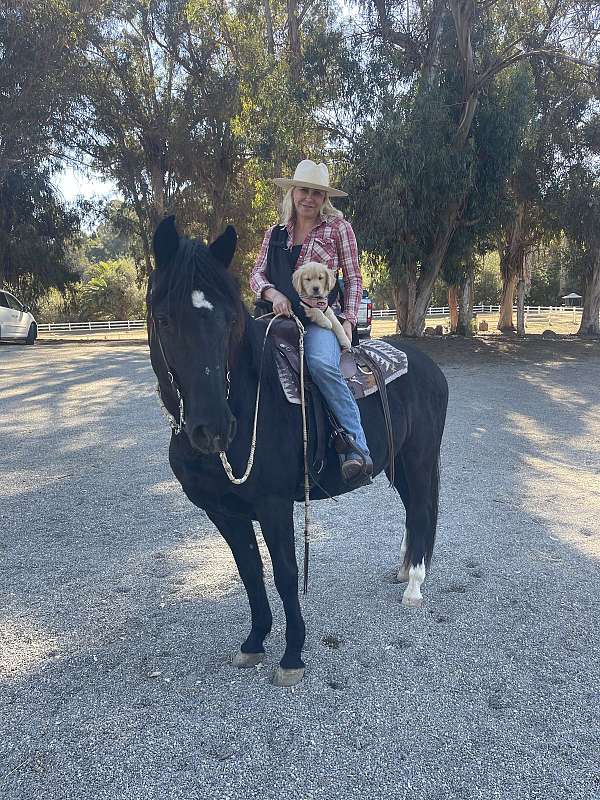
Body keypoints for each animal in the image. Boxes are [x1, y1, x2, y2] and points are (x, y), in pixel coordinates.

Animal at [148, 217, 448, 688]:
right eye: (164, 319)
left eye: (230, 319)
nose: (213, 428)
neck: (250, 396)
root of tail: (430, 368)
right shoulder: (222, 511)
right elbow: (250, 573)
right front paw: (254, 641)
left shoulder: (274, 506)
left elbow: (286, 574)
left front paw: (292, 655)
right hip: (396, 466)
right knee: (413, 513)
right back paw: (403, 569)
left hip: (418, 461)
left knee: (421, 510)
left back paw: (414, 585)